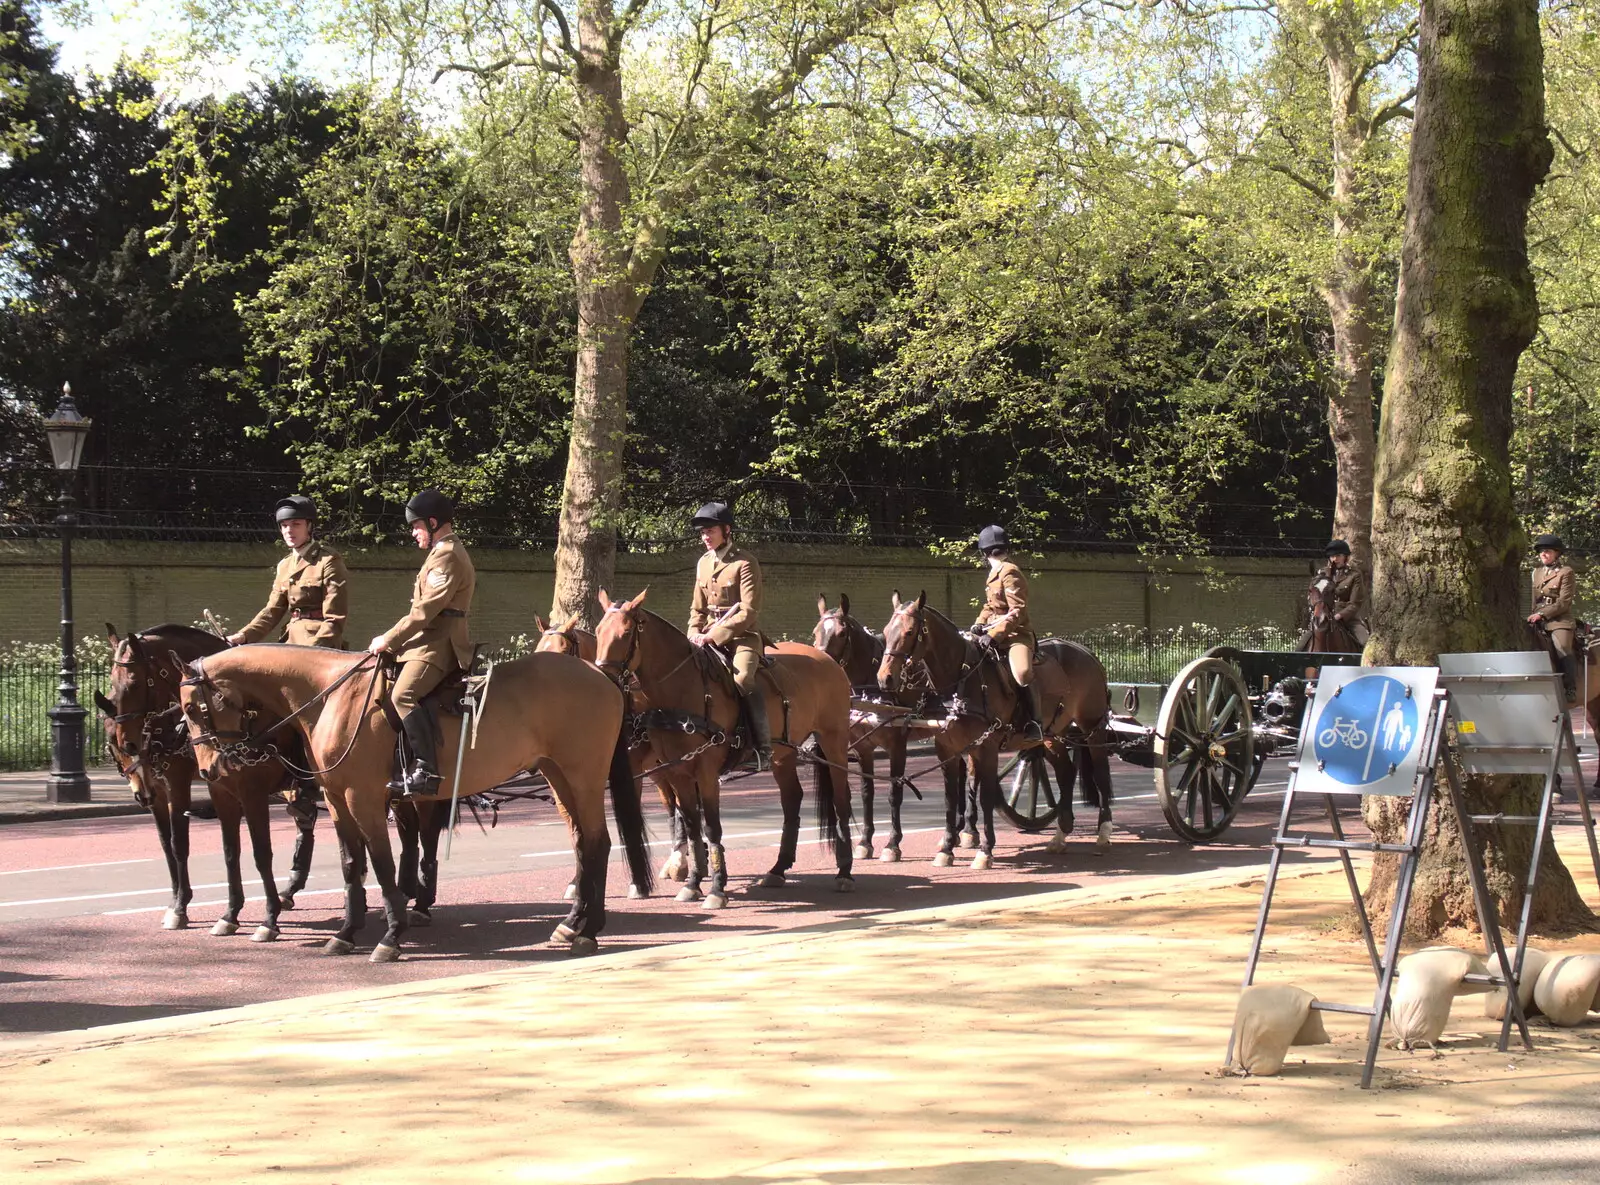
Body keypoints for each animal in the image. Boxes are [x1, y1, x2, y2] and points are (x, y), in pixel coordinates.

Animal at [98, 623, 316, 940]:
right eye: (113, 682)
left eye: (135, 682)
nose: (129, 742)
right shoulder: (202, 791)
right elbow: (215, 850)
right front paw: (220, 912)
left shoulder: (234, 791)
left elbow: (251, 852)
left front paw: (266, 919)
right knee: (306, 822)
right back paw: (290, 889)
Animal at [176, 642, 649, 959]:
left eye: (194, 708)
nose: (208, 771)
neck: (330, 697)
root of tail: (598, 671)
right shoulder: (336, 800)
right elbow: (352, 865)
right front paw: (345, 932)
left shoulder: (363, 798)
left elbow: (383, 864)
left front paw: (390, 935)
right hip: (558, 776)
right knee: (583, 843)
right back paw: (572, 924)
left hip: (584, 776)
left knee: (599, 842)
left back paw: (588, 930)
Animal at [595, 591, 857, 908]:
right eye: (598, 631)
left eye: (624, 633)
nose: (605, 681)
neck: (681, 690)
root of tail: (828, 659)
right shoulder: (677, 772)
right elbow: (692, 826)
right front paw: (693, 882)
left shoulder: (706, 773)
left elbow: (711, 827)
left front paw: (717, 888)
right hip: (784, 755)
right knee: (792, 799)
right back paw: (778, 869)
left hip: (834, 742)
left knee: (841, 800)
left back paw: (844, 872)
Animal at [876, 594, 1113, 863]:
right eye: (886, 631)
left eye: (909, 632)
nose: (885, 678)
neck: (962, 679)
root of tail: (1087, 652)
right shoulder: (947, 748)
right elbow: (951, 797)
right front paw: (947, 848)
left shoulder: (986, 746)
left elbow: (985, 796)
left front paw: (984, 850)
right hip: (1053, 736)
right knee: (1066, 773)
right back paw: (1060, 835)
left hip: (1092, 728)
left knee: (1101, 773)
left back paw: (1103, 833)